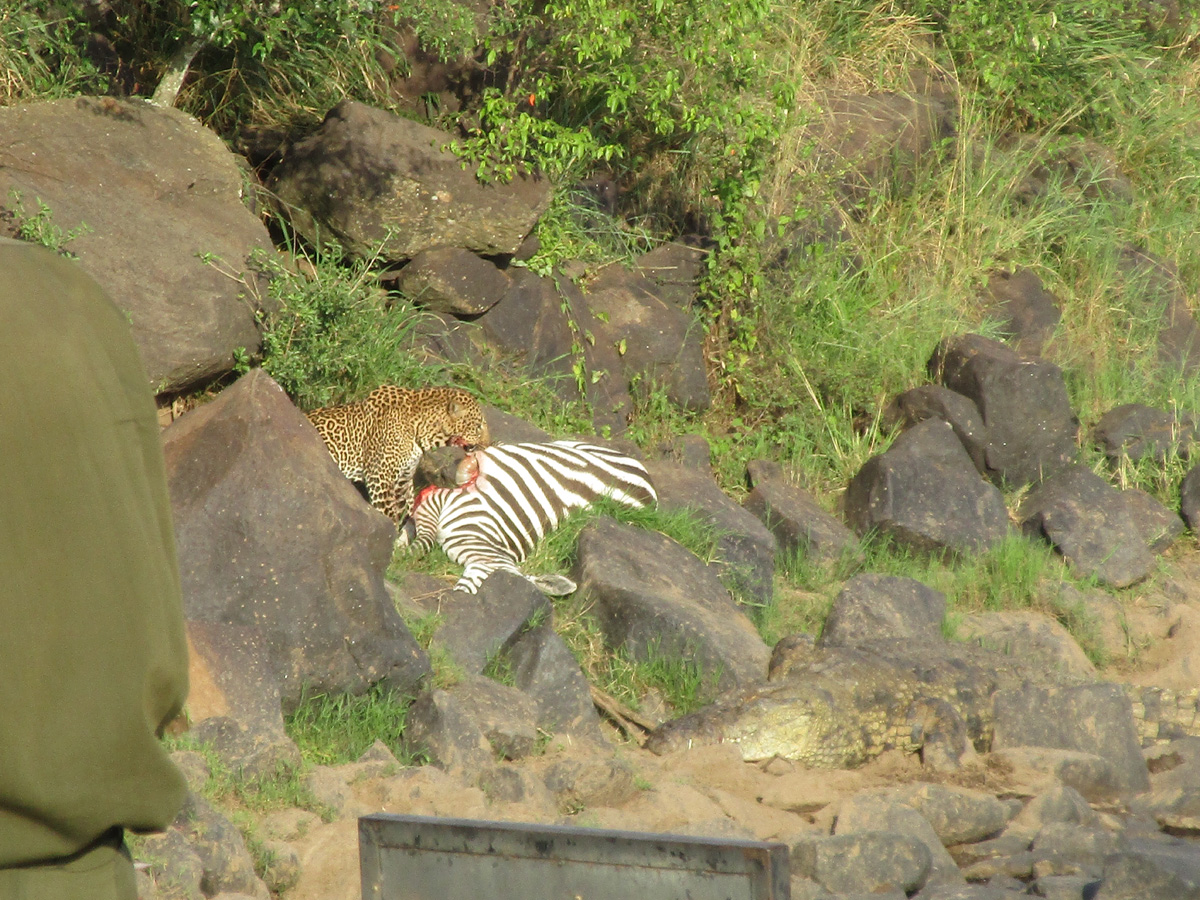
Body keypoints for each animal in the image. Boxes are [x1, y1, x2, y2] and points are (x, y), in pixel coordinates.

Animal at [305, 385, 489, 525]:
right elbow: (388, 514)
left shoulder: (403, 481)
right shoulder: (380, 477)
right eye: (478, 426)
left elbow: (405, 510)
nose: (488, 444)